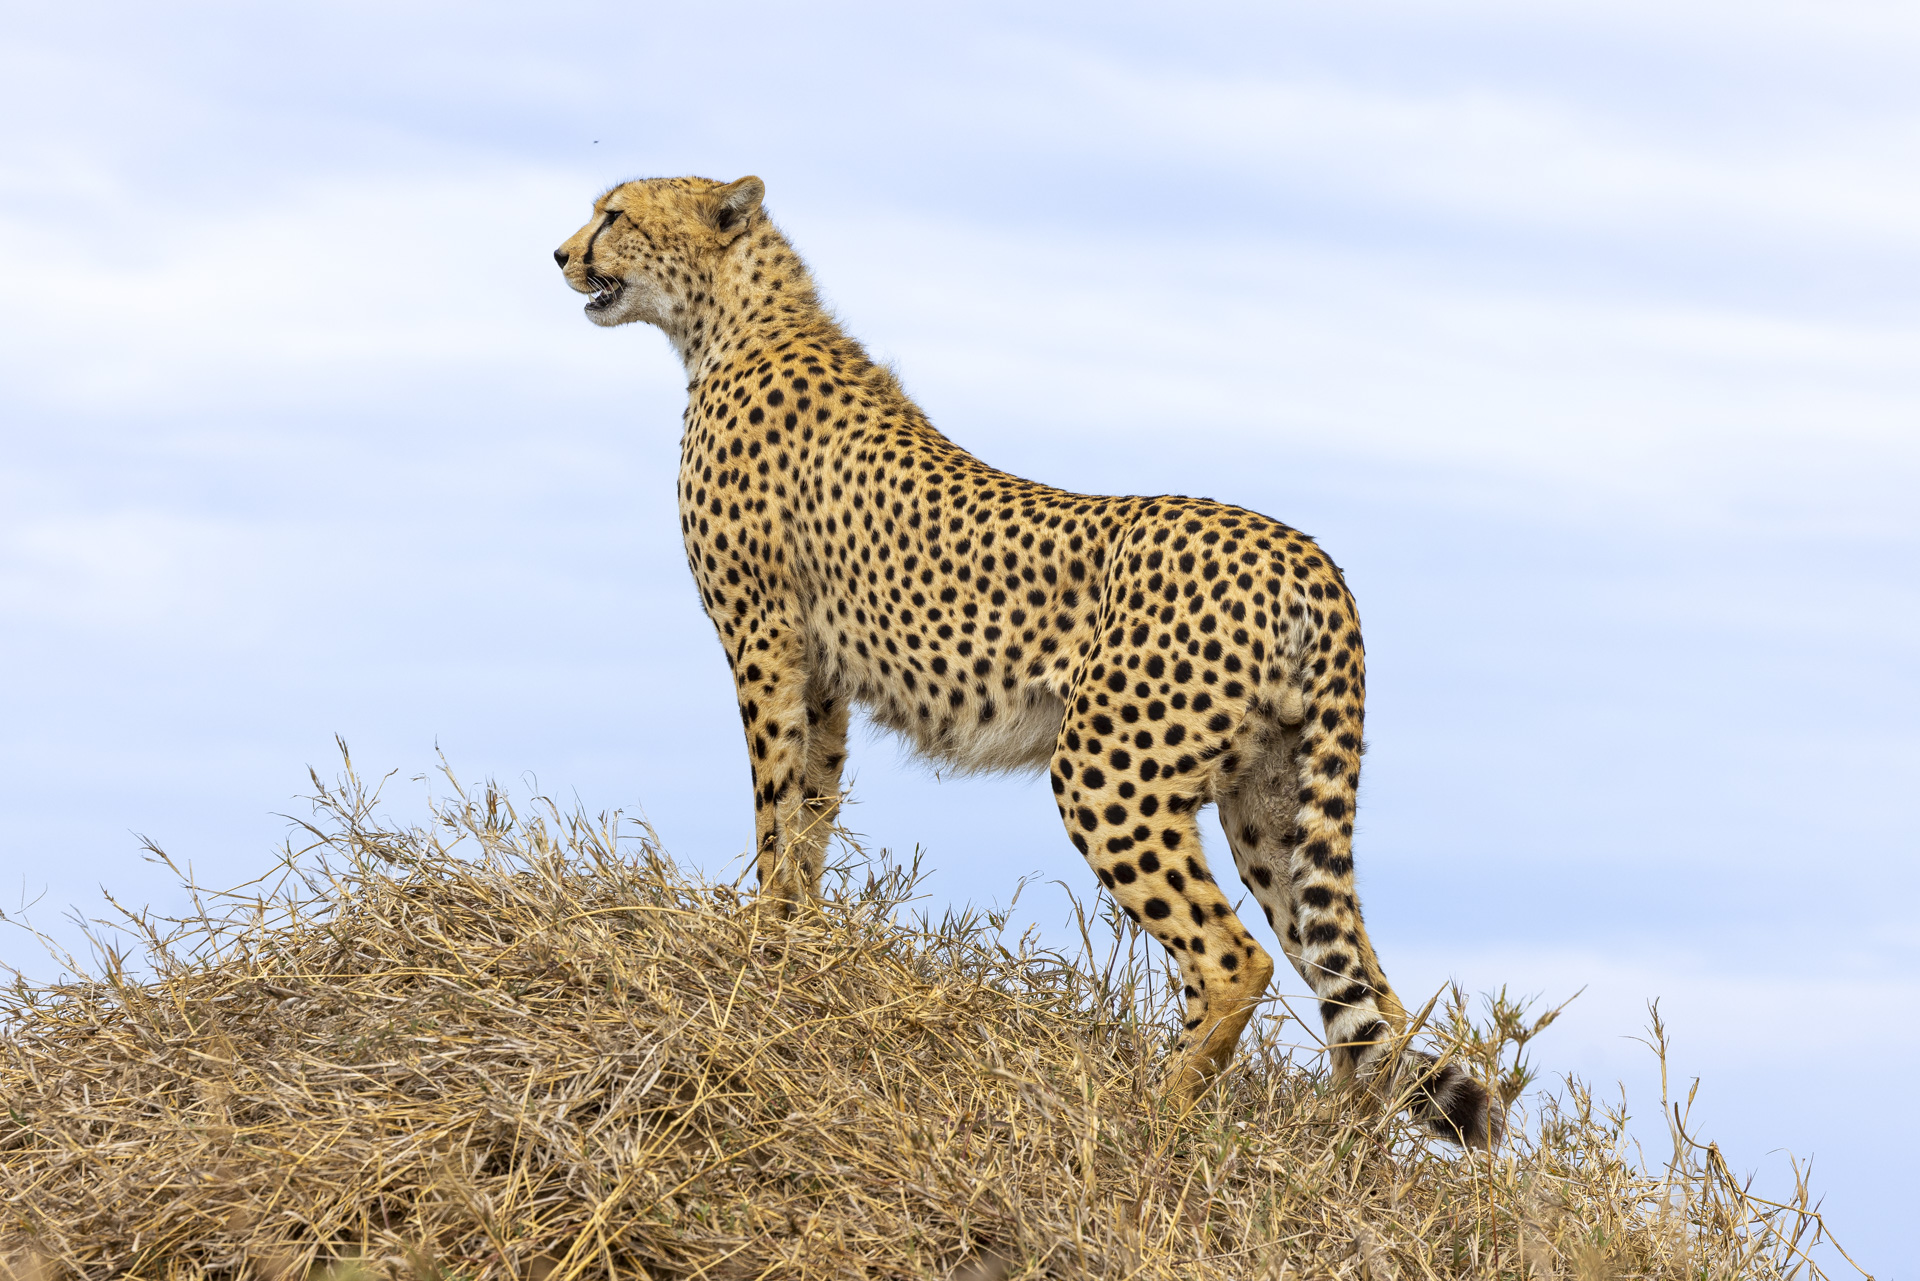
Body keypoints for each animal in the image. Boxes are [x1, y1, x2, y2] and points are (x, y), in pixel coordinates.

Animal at [554, 174, 1499, 1143]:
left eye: (614, 213)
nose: (560, 254)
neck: (731, 320)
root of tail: (1308, 556)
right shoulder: (824, 677)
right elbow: (811, 808)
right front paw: (797, 951)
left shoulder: (763, 636)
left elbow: (772, 804)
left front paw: (755, 949)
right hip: (1273, 802)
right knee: (1370, 1003)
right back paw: (1341, 1156)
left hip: (1108, 771)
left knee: (1236, 960)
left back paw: (1155, 1117)